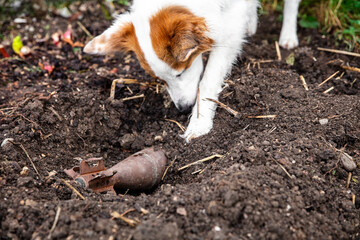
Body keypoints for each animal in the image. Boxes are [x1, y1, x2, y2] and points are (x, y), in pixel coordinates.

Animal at [84, 0, 300, 142]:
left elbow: (208, 81)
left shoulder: (230, 30)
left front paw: (199, 123)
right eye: (160, 80)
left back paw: (288, 35)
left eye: (180, 73)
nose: (183, 108)